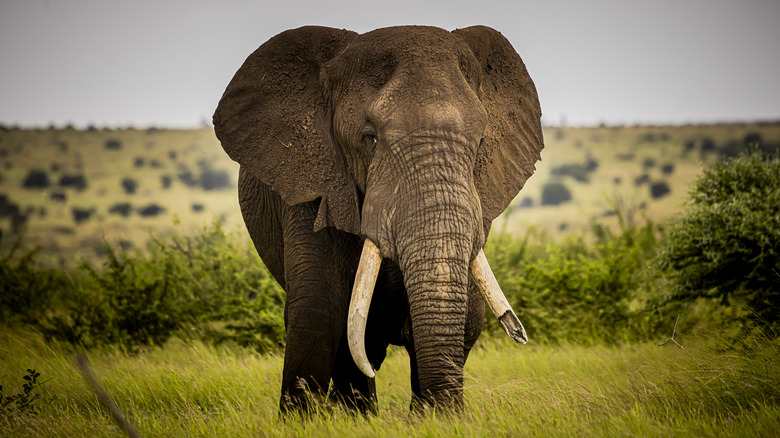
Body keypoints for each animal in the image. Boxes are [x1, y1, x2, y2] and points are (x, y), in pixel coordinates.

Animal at [213, 25, 543, 413]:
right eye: (369, 139)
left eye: (479, 142)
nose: (520, 333)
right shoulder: (312, 186)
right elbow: (319, 311)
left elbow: (466, 318)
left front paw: (432, 418)